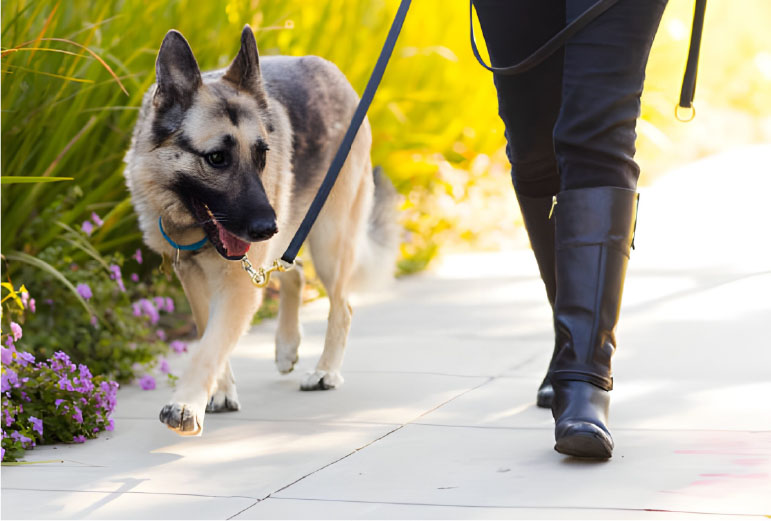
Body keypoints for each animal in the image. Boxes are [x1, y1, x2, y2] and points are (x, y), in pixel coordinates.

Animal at [123, 27, 398, 434]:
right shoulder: (193, 273)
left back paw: (325, 371)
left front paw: (186, 404)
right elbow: (209, 334)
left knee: (342, 305)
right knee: (294, 271)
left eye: (261, 155)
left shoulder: (238, 283)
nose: (268, 227)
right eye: (216, 158)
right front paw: (219, 391)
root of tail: (331, 70)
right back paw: (286, 345)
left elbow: (209, 346)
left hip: (330, 241)